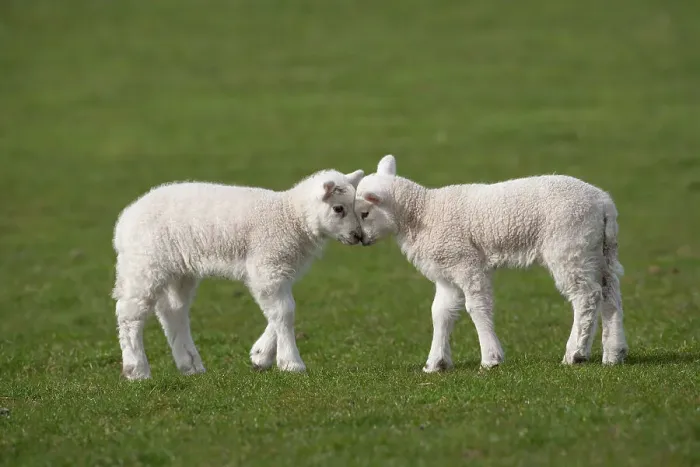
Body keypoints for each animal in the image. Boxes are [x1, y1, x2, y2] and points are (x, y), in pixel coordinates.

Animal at [112, 168, 365, 380]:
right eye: (338, 208)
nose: (358, 237)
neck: (291, 217)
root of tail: (123, 222)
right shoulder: (267, 266)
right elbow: (284, 312)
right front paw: (291, 363)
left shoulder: (278, 271)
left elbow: (283, 311)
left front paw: (261, 355)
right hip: (144, 263)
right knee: (129, 314)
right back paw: (137, 369)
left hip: (178, 270)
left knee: (172, 311)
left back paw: (190, 365)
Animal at [354, 155, 628, 372]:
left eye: (364, 214)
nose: (360, 239)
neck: (422, 213)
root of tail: (605, 204)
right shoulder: (446, 273)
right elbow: (440, 314)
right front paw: (435, 363)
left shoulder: (466, 262)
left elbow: (476, 307)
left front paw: (490, 358)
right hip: (597, 250)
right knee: (610, 292)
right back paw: (614, 352)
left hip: (569, 246)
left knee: (586, 295)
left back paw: (576, 353)